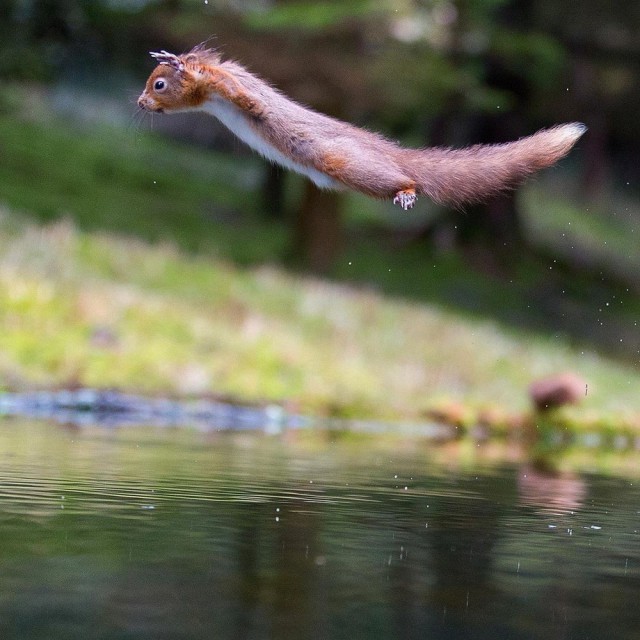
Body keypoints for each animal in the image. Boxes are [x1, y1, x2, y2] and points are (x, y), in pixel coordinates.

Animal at [136, 45, 584, 210]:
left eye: (159, 84)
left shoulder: (230, 86)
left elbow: (248, 100)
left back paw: (407, 190)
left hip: (347, 161)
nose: (139, 103)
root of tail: (392, 153)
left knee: (400, 178)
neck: (208, 95)